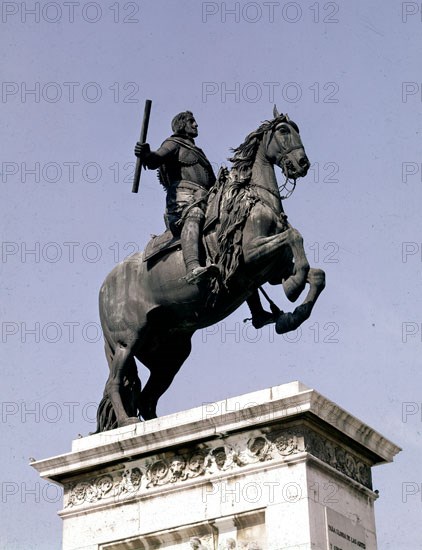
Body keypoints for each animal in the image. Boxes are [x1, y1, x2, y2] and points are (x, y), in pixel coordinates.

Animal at [96, 110, 326, 434]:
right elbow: (295, 237)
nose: (301, 164)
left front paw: (291, 315)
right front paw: (293, 290)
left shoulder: (271, 269)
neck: (255, 199)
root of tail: (105, 286)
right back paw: (128, 423)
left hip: (170, 352)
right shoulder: (250, 255)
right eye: (283, 131)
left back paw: (157, 425)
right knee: (117, 382)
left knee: (147, 397)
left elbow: (316, 274)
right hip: (127, 342)